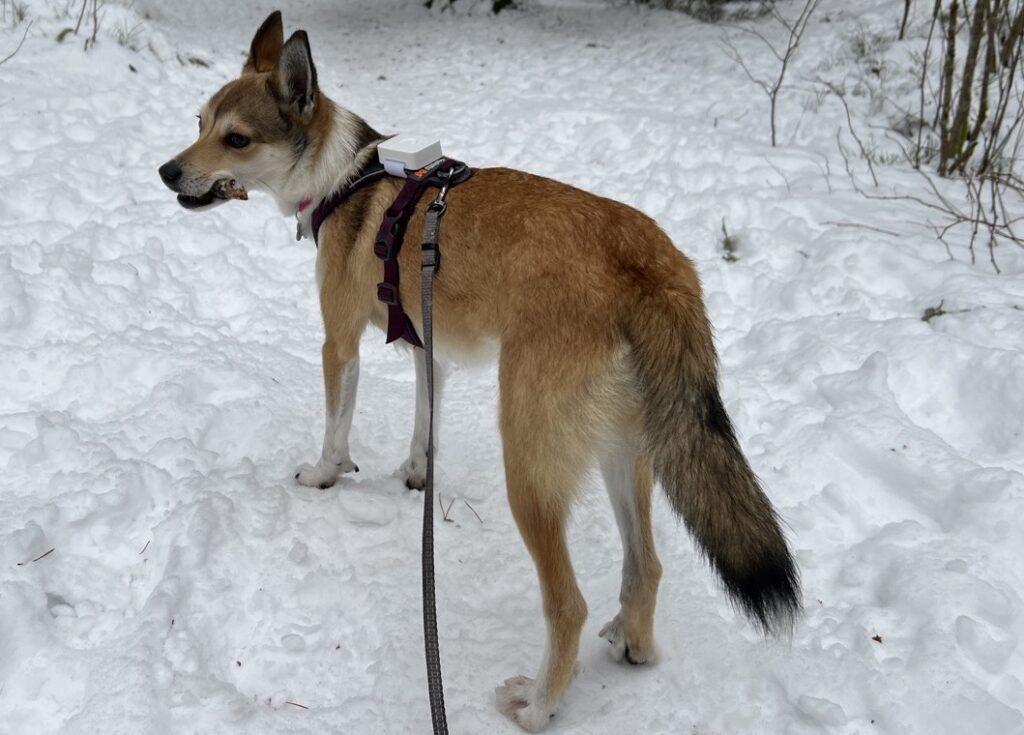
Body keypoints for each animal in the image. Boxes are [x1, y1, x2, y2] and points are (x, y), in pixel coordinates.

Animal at [157, 10, 798, 732]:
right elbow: (423, 424)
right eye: (200, 120)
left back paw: (539, 704)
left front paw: (324, 474)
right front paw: (416, 474)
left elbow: (335, 428)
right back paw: (633, 643)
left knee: (568, 604)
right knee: (647, 566)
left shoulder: (339, 343)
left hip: (528, 463)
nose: (166, 171)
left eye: (235, 138)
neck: (347, 179)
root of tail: (651, 262)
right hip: (625, 451)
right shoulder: (426, 347)